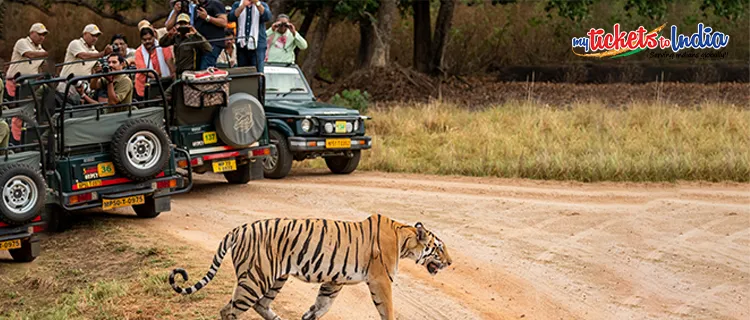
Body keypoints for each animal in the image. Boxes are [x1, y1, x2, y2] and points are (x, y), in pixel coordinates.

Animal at [170, 214, 452, 318]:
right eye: (439, 248)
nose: (450, 262)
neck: (404, 239)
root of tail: (239, 229)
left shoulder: (334, 281)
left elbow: (322, 305)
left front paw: (308, 315)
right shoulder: (380, 280)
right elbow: (388, 310)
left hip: (274, 278)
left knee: (260, 305)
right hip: (256, 279)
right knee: (229, 310)